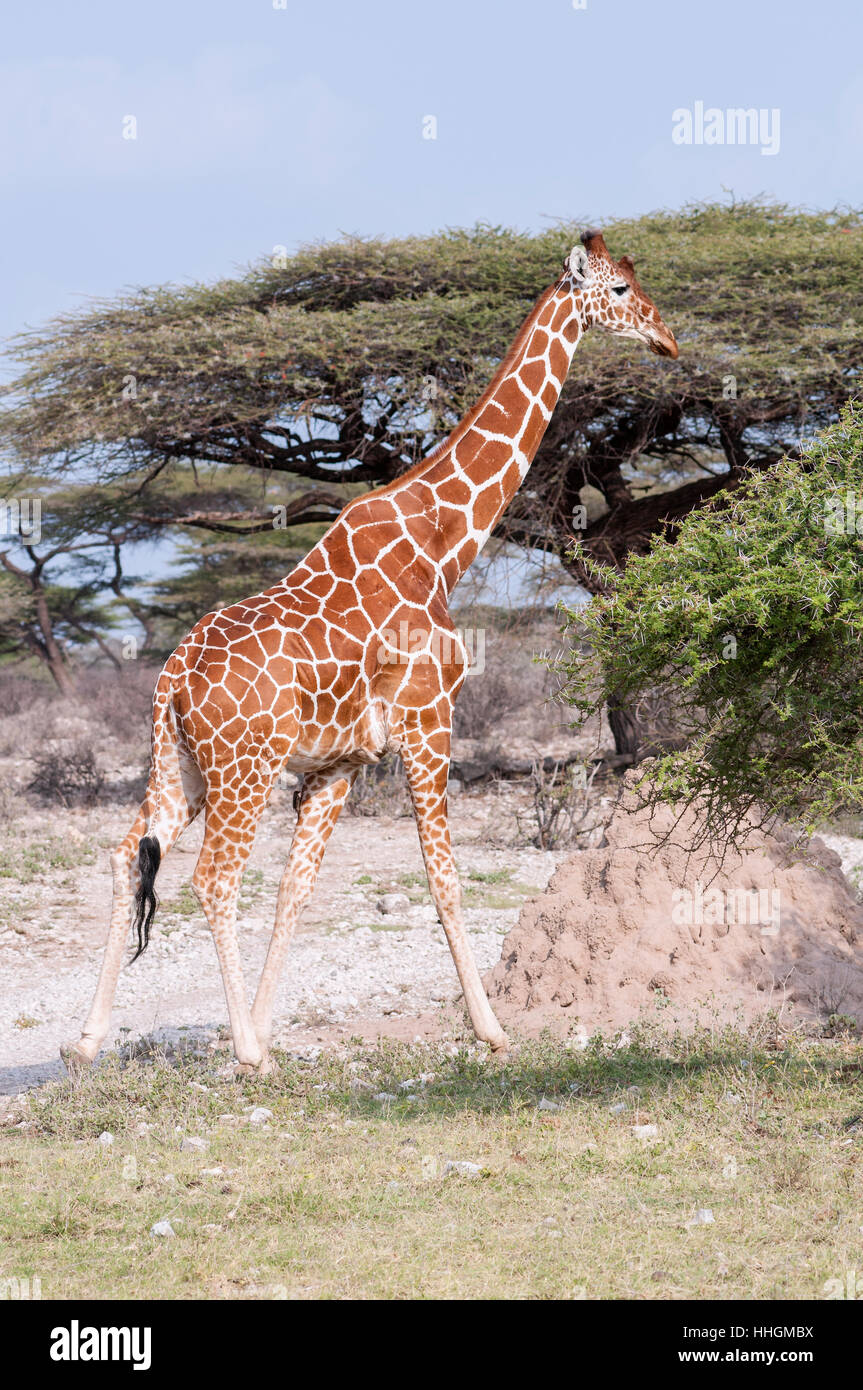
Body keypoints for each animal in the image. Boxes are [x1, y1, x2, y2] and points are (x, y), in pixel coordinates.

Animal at [63, 227, 675, 1073]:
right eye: (617, 290)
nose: (667, 338)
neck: (445, 542)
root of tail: (173, 675)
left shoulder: (337, 765)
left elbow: (297, 891)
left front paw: (267, 1023)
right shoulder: (428, 721)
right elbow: (443, 880)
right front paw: (490, 1029)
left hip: (179, 764)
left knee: (129, 854)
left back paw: (87, 1041)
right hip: (242, 767)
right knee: (212, 880)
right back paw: (243, 1053)